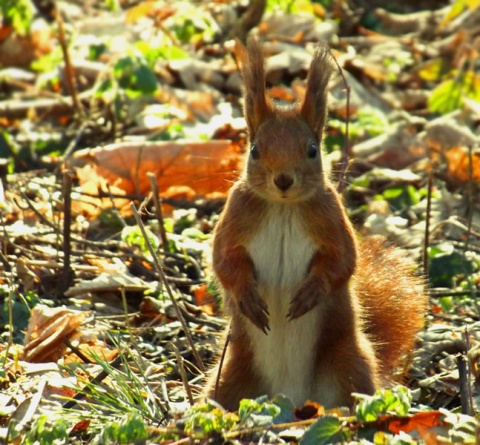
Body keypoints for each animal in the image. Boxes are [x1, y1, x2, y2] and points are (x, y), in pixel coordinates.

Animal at [205, 37, 428, 410]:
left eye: (312, 150)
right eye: (254, 150)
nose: (283, 180)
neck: (283, 209)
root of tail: (291, 398)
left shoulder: (331, 218)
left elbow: (342, 261)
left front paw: (311, 292)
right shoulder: (235, 217)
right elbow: (224, 261)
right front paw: (247, 296)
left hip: (349, 364)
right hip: (231, 377)